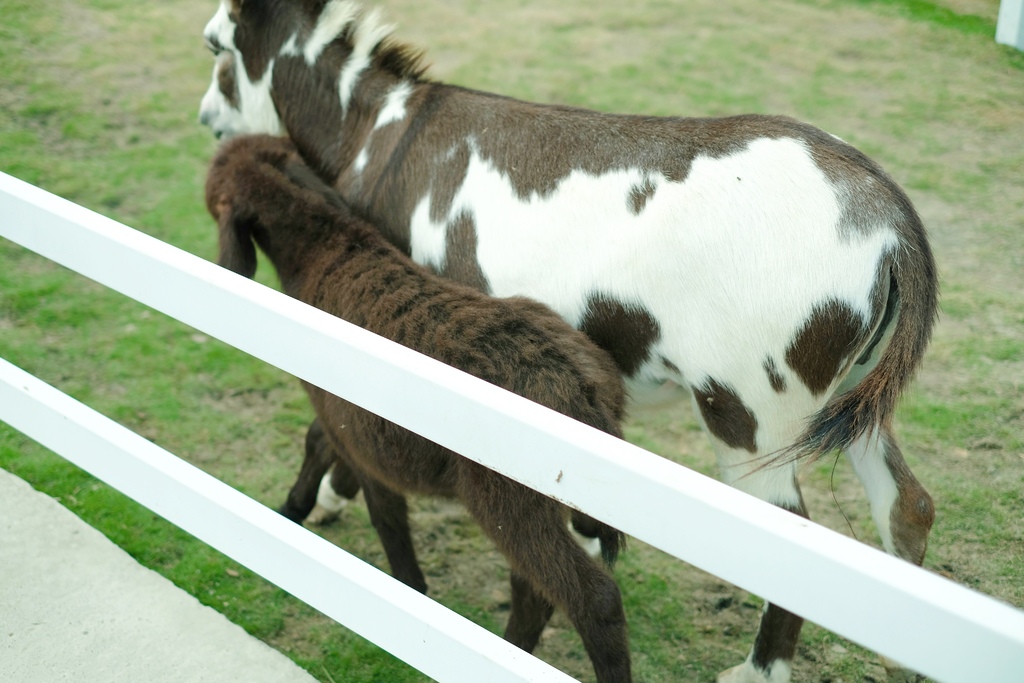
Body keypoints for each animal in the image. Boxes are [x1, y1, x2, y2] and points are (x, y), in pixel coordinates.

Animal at [195, 2, 937, 679]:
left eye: (214, 46)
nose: (206, 120)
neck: (379, 131)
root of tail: (887, 211)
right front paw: (326, 497)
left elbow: (333, 428)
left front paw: (317, 500)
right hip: (849, 401)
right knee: (906, 508)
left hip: (752, 414)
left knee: (792, 547)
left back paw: (758, 669)